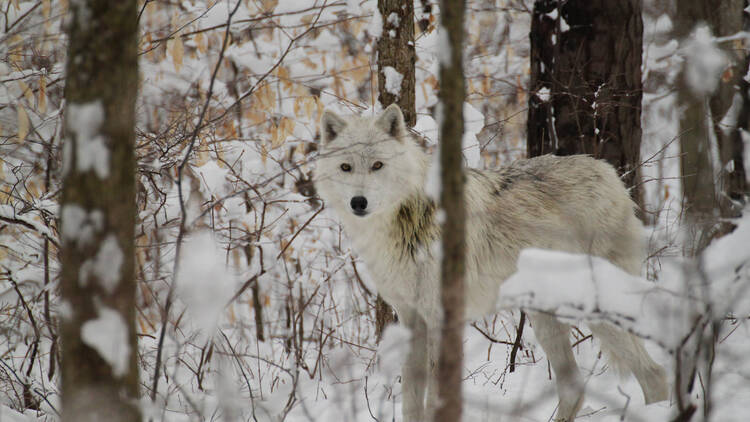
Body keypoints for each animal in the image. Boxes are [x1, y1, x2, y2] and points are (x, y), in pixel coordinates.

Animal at [314, 103, 672, 422]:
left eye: (377, 165)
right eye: (346, 167)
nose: (358, 202)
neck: (409, 219)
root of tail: (608, 173)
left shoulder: (442, 319)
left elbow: (435, 400)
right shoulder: (411, 318)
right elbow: (412, 403)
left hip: (594, 311)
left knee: (654, 375)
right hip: (546, 319)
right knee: (574, 387)